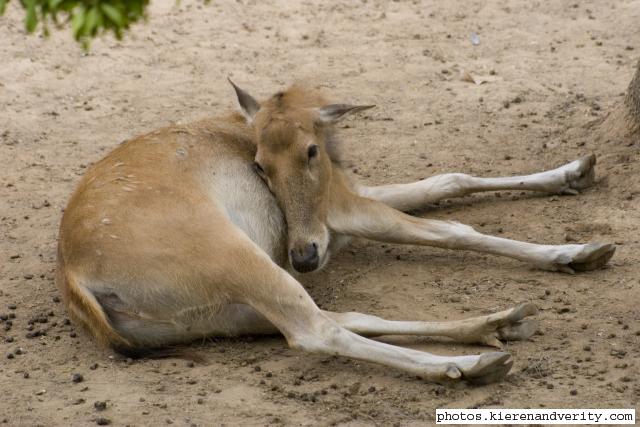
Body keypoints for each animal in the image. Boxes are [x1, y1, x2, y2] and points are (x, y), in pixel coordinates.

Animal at [55, 81, 616, 384]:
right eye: (257, 165)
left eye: (309, 150)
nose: (305, 254)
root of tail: (77, 279)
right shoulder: (347, 213)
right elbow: (452, 227)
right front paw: (576, 251)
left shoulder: (346, 206)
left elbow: (446, 179)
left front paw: (575, 172)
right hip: (246, 262)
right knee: (315, 331)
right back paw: (471, 364)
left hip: (231, 311)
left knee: (343, 316)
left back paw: (497, 326)